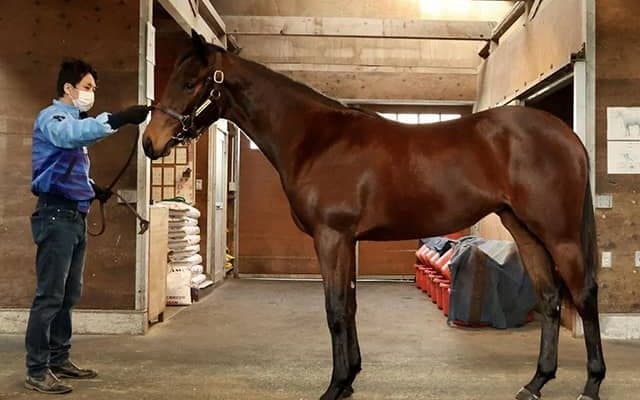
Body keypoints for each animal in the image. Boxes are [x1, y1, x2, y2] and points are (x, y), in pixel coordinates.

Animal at [142, 30, 605, 400]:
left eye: (189, 83)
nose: (150, 143)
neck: (316, 140)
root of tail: (566, 135)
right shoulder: (347, 240)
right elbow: (349, 306)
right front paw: (349, 379)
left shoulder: (331, 237)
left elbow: (334, 309)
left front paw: (333, 386)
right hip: (524, 229)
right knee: (550, 298)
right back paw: (536, 382)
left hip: (560, 235)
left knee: (583, 296)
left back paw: (591, 385)